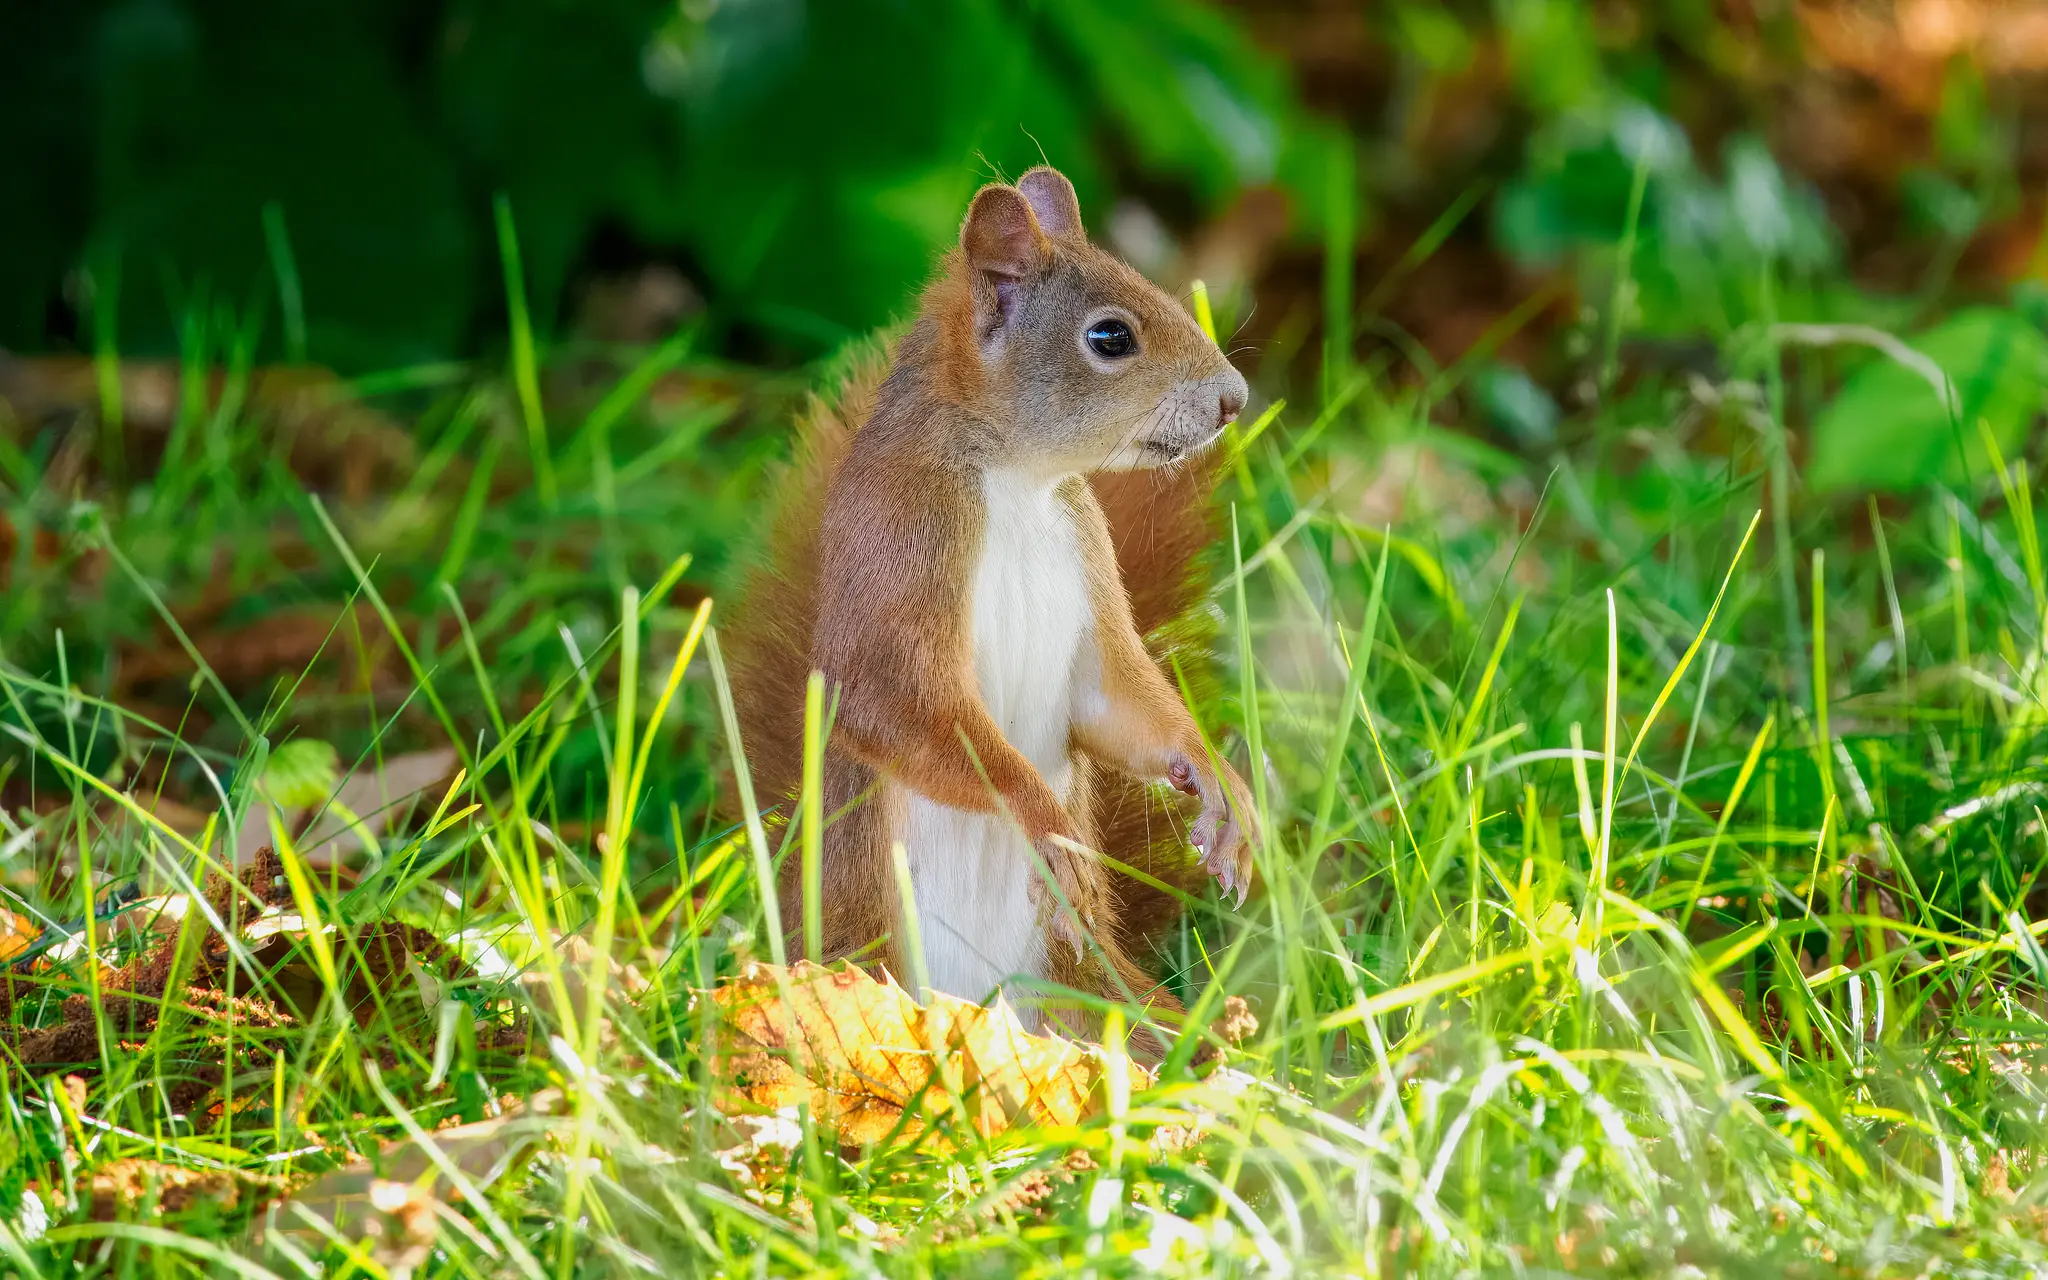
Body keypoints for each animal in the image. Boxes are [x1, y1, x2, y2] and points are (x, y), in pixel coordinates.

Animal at [725, 166, 1258, 1040]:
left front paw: (1220, 785)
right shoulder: (899, 539)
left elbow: (1114, 700)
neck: (1017, 482)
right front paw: (1046, 826)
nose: (1234, 399)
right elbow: (895, 707)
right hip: (856, 964)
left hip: (1090, 992)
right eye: (1111, 338)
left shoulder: (1087, 562)